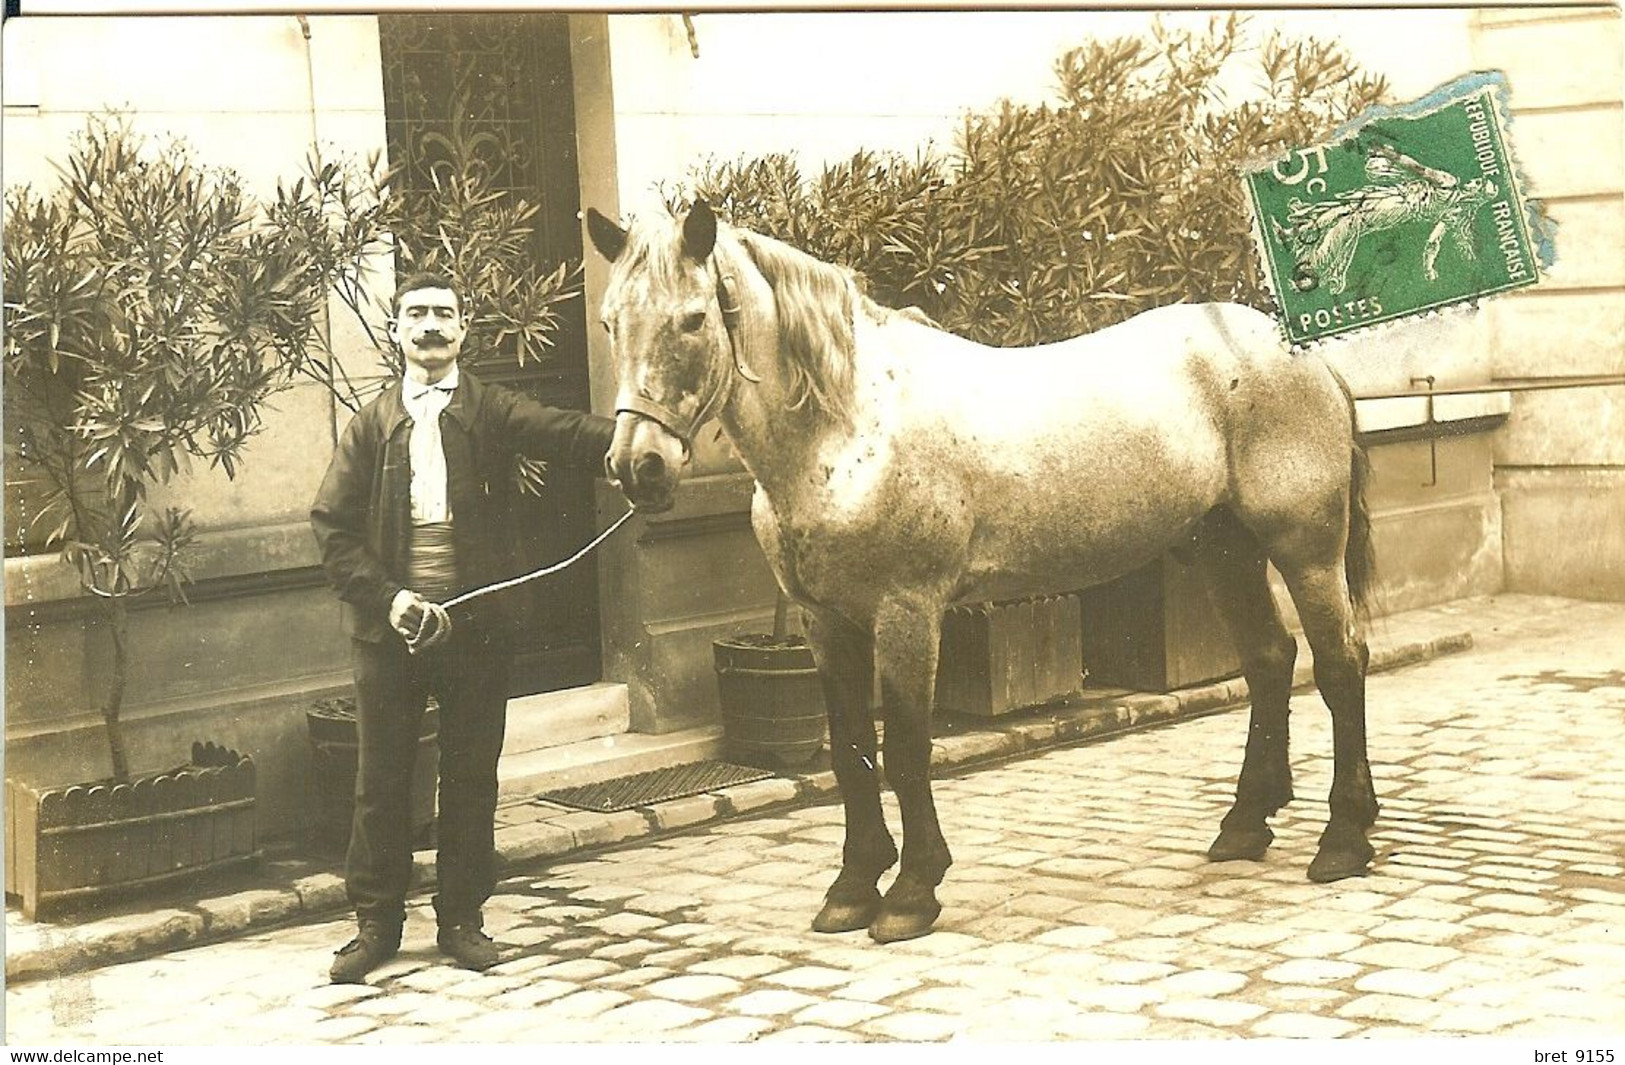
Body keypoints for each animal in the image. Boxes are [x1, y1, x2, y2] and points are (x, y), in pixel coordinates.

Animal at [591, 199, 1378, 943]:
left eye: (693, 319)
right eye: (609, 323)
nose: (638, 467)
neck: (850, 427)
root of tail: (1297, 351)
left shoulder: (906, 613)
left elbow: (906, 748)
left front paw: (911, 893)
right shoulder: (825, 623)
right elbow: (851, 751)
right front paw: (851, 889)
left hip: (1304, 549)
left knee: (1339, 664)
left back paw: (1342, 839)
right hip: (1224, 551)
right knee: (1270, 661)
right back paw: (1244, 825)